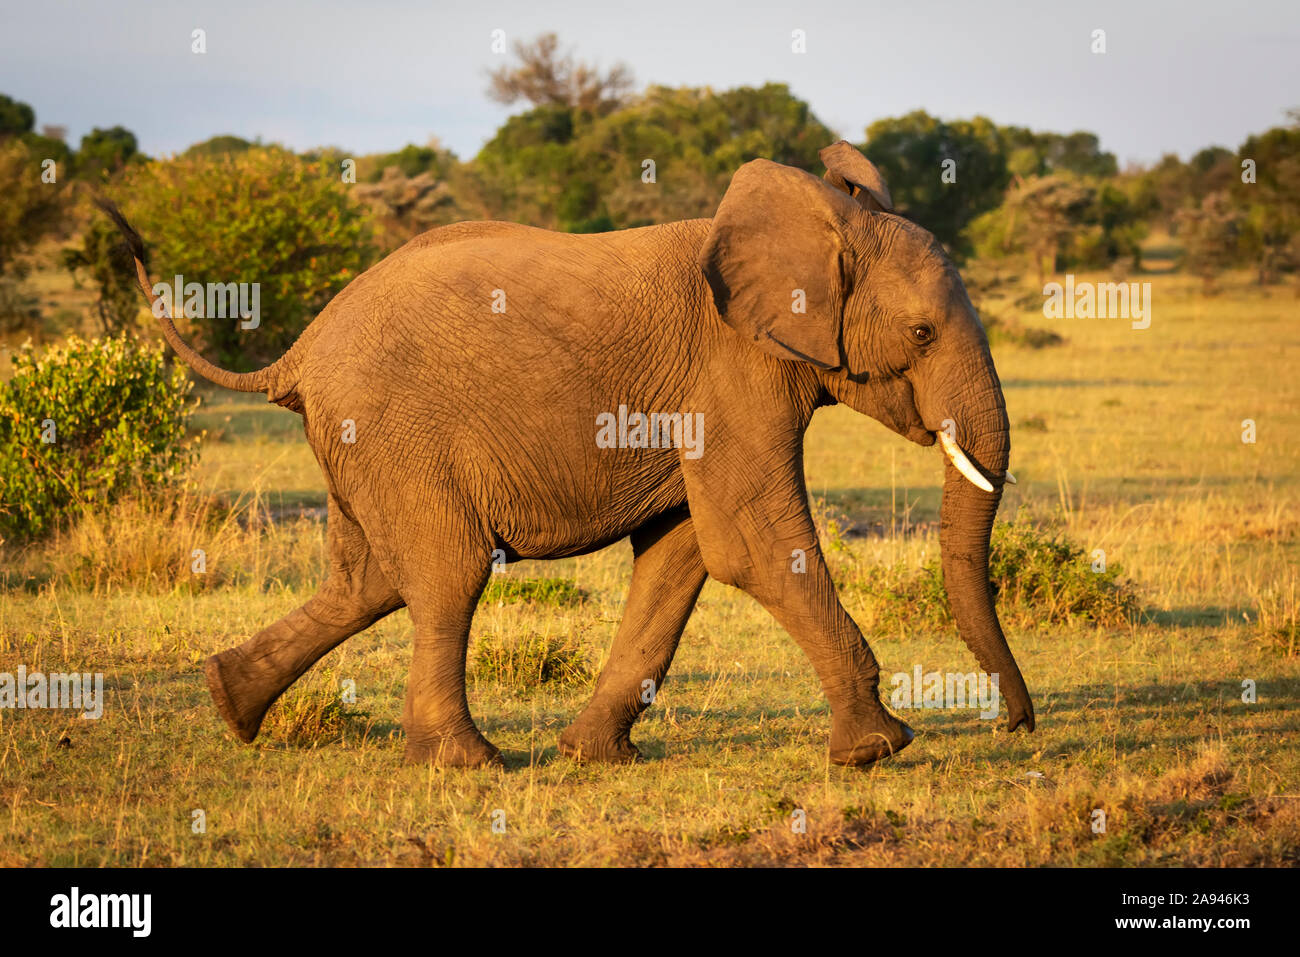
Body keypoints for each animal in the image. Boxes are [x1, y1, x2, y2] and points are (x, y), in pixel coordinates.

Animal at [98, 140, 1034, 769]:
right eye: (923, 333)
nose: (1016, 724)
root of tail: (295, 352)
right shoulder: (731, 369)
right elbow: (753, 544)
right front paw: (880, 748)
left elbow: (682, 553)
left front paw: (594, 757)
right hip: (393, 430)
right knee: (446, 572)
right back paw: (466, 763)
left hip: (360, 442)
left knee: (364, 581)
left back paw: (230, 703)